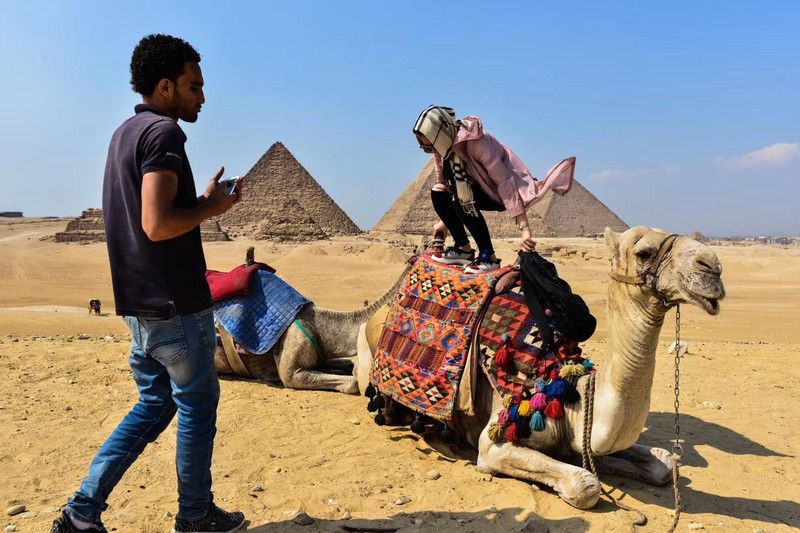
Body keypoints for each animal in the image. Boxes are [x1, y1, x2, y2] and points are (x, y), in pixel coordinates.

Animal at [356, 225, 724, 508]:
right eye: (644, 252)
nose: (713, 267)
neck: (567, 392)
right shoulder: (493, 443)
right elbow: (585, 485)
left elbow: (664, 462)